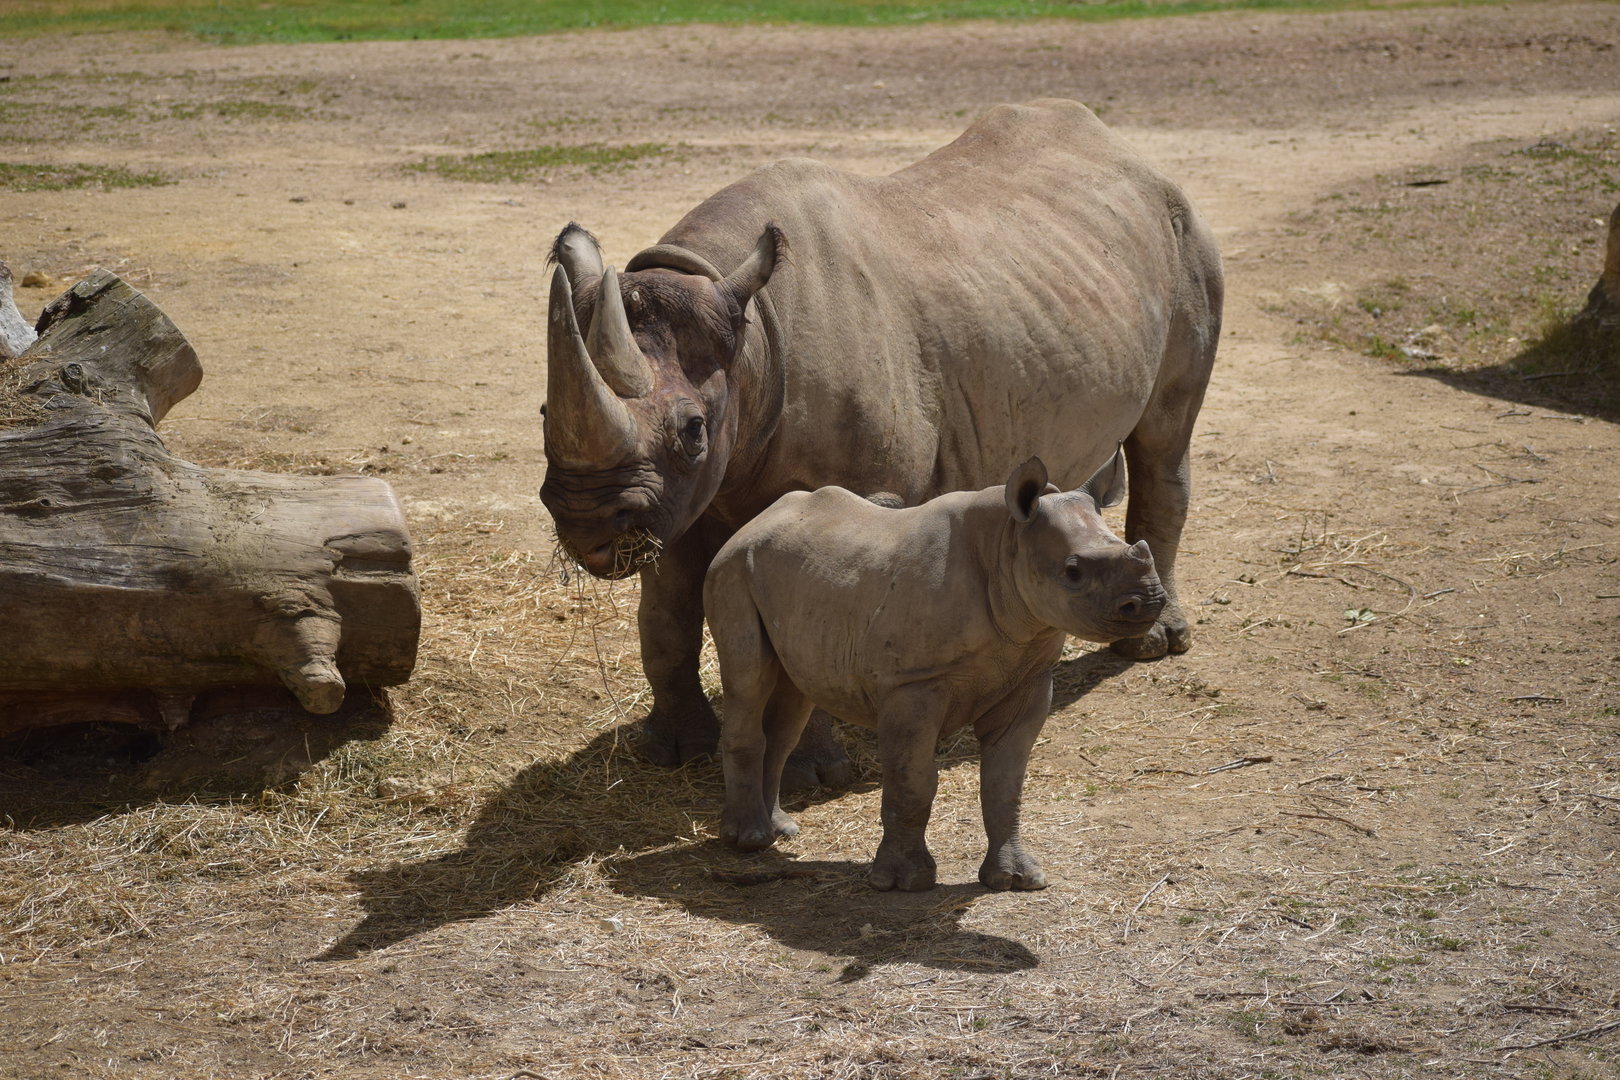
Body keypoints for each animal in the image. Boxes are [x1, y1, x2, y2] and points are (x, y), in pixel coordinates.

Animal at [539, 99, 1222, 783]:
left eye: (693, 430)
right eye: (545, 413)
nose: (584, 521)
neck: (751, 343)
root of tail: (1126, 150)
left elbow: (814, 611)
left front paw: (811, 779)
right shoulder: (683, 497)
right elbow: (667, 611)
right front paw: (674, 750)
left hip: (1188, 235)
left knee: (1165, 435)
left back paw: (1153, 644)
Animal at [706, 452, 1160, 891]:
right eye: (1072, 572)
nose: (1151, 600)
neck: (1008, 541)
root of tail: (751, 524)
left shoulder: (1029, 676)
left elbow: (1005, 782)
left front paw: (1018, 879)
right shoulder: (914, 682)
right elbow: (914, 780)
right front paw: (905, 882)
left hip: (788, 579)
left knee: (790, 700)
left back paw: (780, 830)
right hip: (732, 569)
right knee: (748, 681)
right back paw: (748, 840)